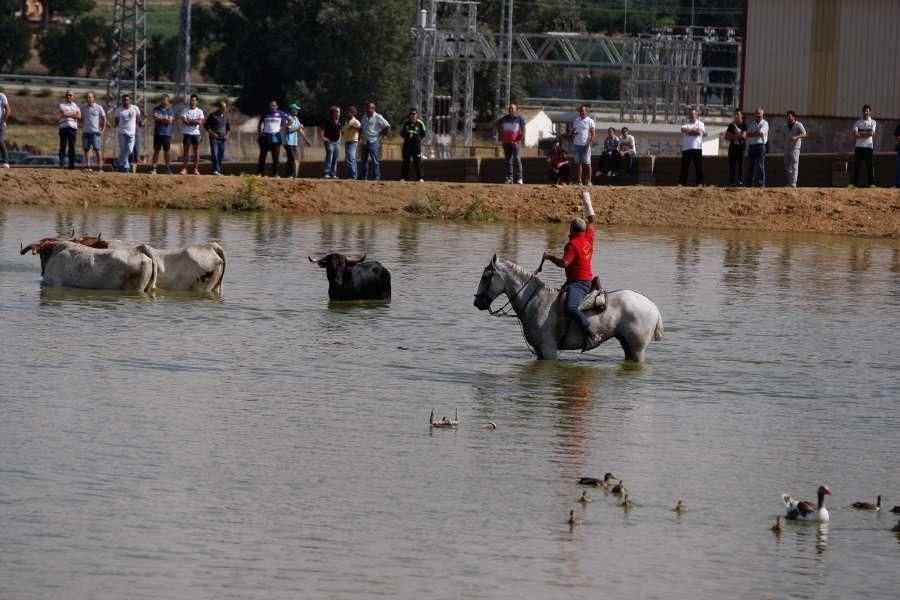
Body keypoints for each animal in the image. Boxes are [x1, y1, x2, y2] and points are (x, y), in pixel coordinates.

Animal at [474, 254, 664, 360]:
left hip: (638, 348)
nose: (477, 303)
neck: (535, 302)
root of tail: (654, 307)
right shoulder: (539, 351)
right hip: (627, 344)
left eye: (485, 276)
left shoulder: (549, 350)